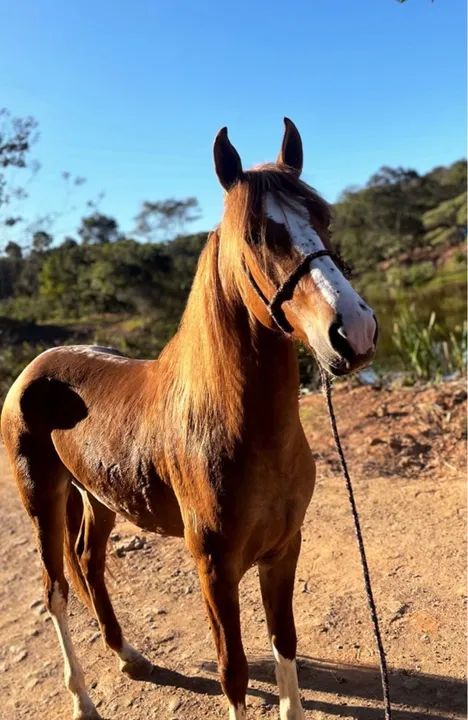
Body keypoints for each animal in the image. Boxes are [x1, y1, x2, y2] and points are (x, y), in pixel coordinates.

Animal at [1, 118, 377, 720]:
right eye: (257, 235)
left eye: (323, 219)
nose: (355, 332)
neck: (238, 428)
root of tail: (35, 368)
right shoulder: (214, 569)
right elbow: (234, 672)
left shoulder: (283, 550)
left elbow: (285, 643)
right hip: (42, 499)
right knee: (55, 589)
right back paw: (82, 697)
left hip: (98, 499)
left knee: (90, 564)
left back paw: (128, 655)